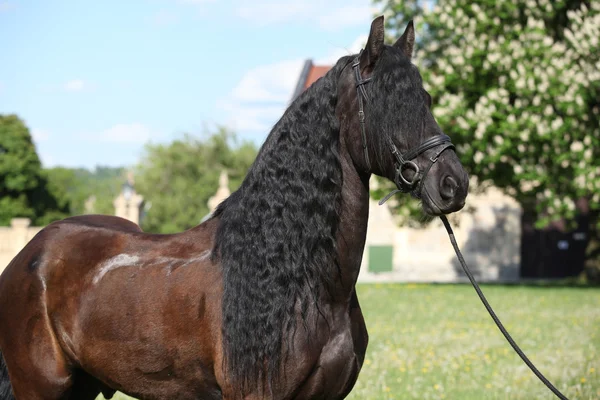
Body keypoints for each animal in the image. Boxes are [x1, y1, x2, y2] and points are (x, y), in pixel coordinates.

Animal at [0, 16, 468, 400]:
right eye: (388, 102)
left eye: (426, 98)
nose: (453, 183)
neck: (298, 278)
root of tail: (31, 253)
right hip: (41, 388)